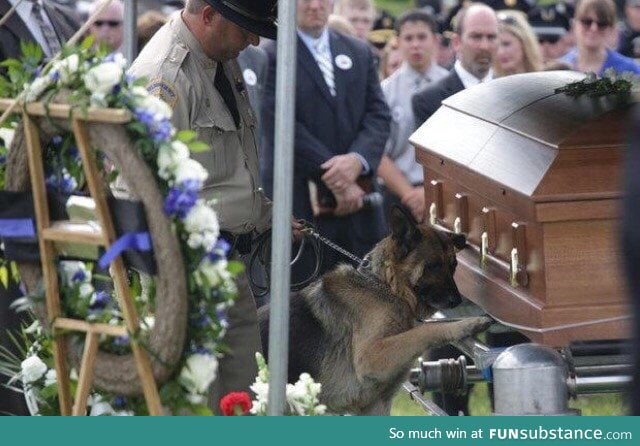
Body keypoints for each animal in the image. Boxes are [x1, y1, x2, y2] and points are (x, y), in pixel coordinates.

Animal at [258, 206, 492, 414]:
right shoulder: (372, 357)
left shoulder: (375, 405)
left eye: (453, 266)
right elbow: (425, 330)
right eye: (433, 266)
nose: (457, 300)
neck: (385, 287)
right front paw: (468, 324)